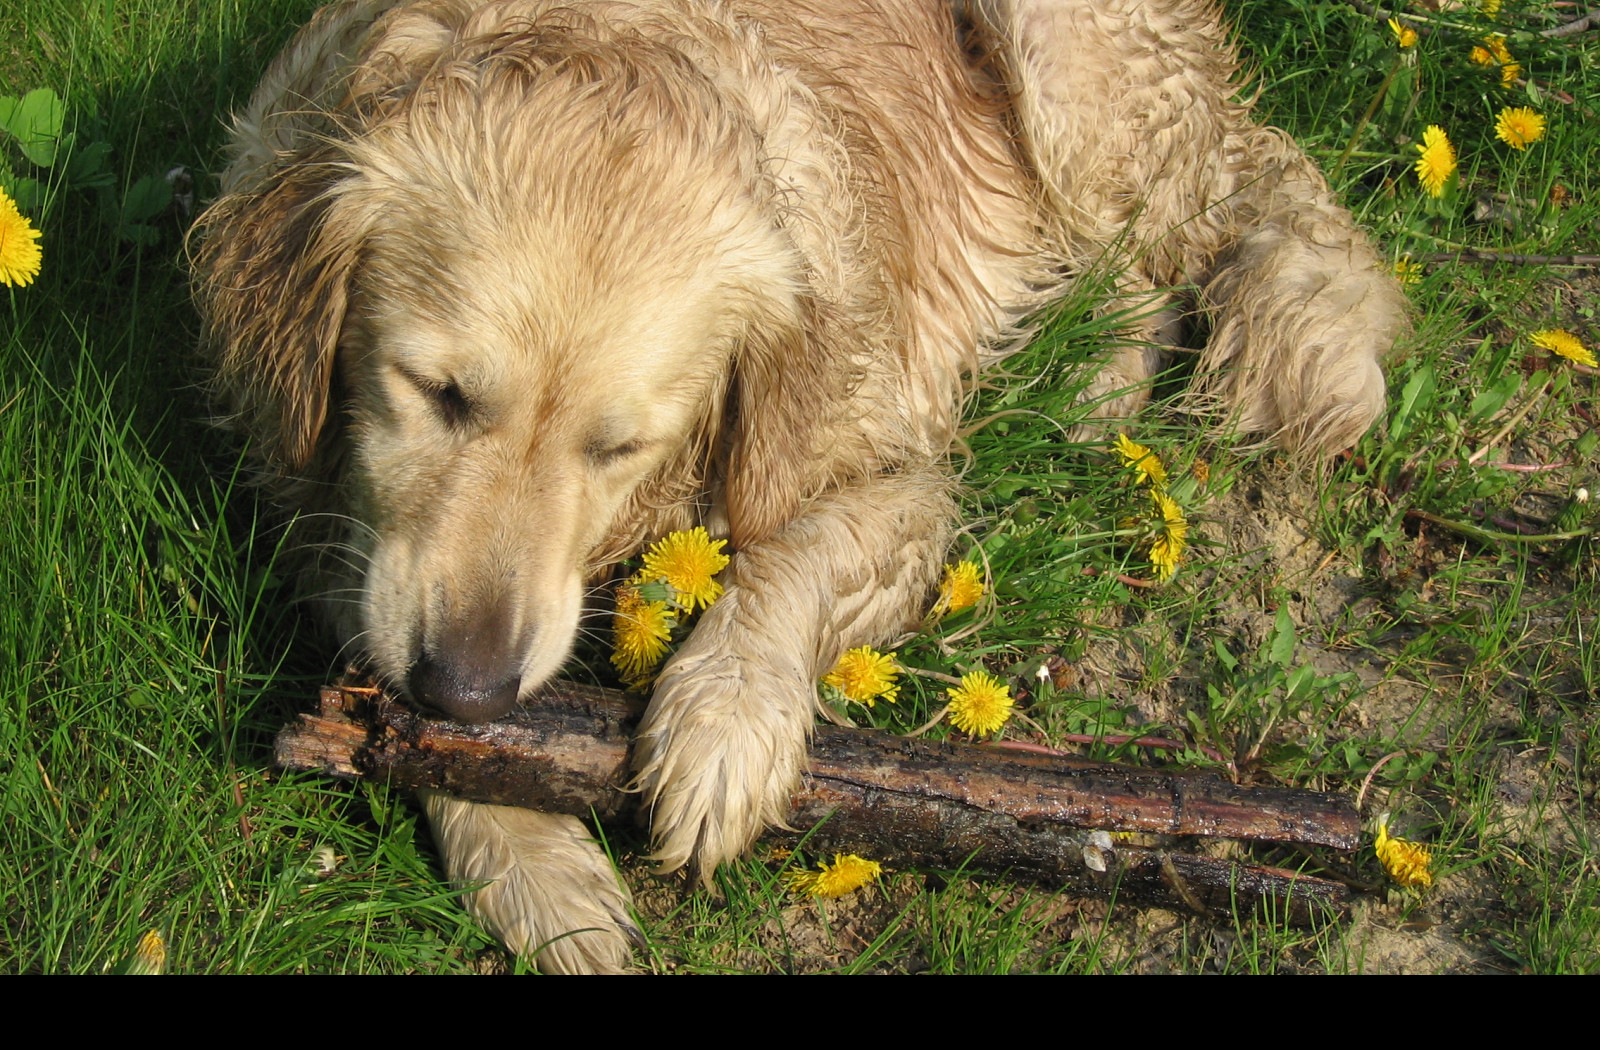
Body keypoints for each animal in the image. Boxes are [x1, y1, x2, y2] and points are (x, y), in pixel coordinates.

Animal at [193, 0, 1408, 973]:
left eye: (617, 448)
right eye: (436, 392)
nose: (468, 689)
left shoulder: (897, 478)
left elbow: (795, 551)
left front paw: (726, 721)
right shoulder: (311, 490)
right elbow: (383, 665)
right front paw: (535, 862)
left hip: (1078, 95)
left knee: (1216, 217)